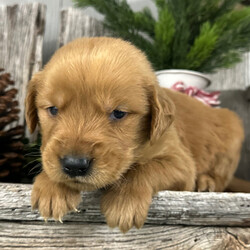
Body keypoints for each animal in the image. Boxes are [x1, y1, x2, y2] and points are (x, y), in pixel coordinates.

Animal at [25, 36, 244, 231]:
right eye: (53, 109)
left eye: (119, 113)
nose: (74, 165)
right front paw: (51, 188)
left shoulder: (181, 162)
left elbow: (144, 167)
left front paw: (123, 203)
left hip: (232, 132)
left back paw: (207, 182)